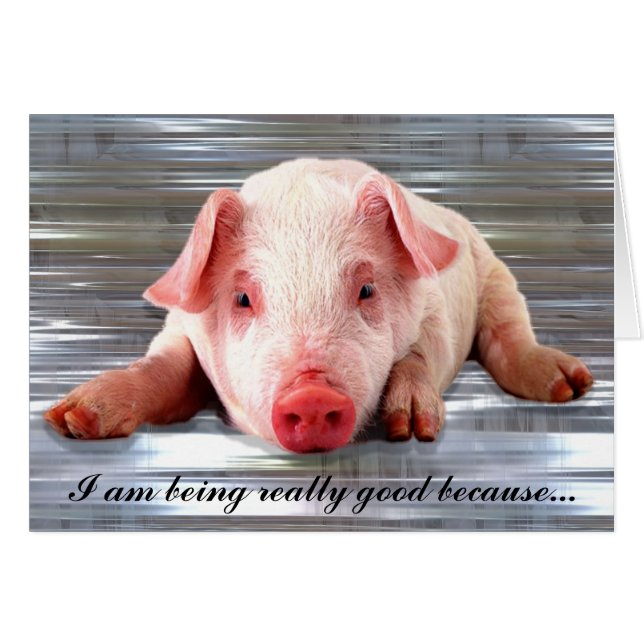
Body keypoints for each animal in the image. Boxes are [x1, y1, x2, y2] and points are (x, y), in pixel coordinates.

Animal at [44, 158, 594, 453]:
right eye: (243, 297)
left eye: (367, 290)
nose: (310, 395)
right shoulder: (182, 325)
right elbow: (165, 366)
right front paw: (71, 420)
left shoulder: (436, 313)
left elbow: (421, 355)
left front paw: (411, 431)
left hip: (495, 271)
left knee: (509, 330)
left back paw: (572, 386)